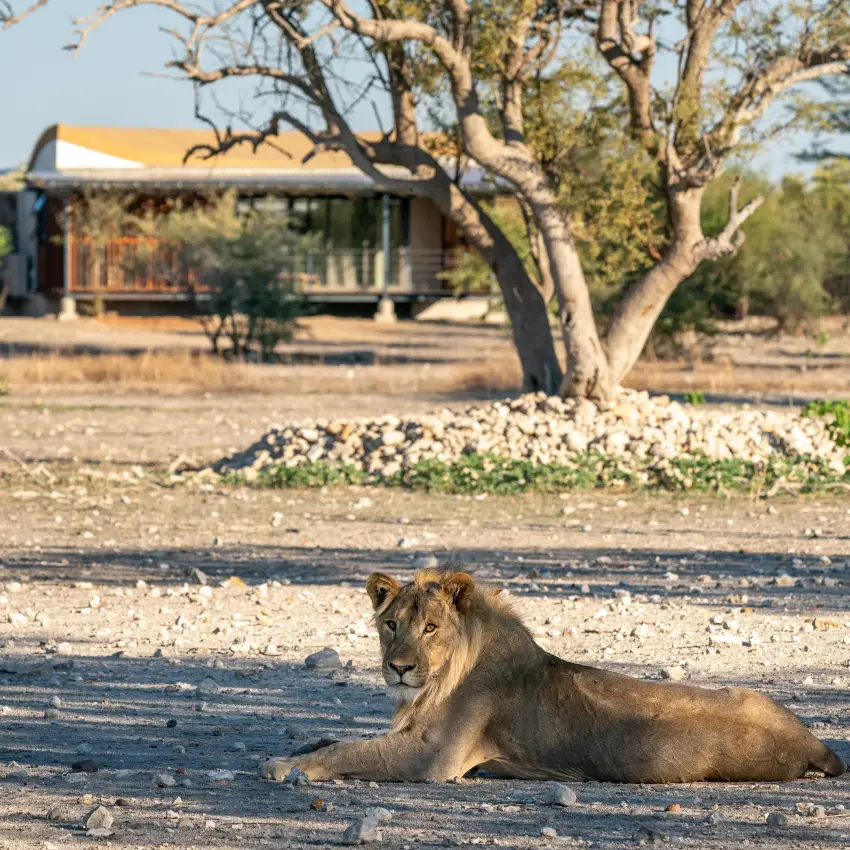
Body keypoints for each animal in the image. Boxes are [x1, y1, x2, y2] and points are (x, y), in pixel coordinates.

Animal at [260, 568, 847, 784]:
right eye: (391, 625)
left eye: (429, 627)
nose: (398, 667)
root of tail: (816, 744)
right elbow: (333, 738)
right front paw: (297, 749)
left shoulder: (434, 759)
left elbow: (348, 750)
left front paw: (281, 765)